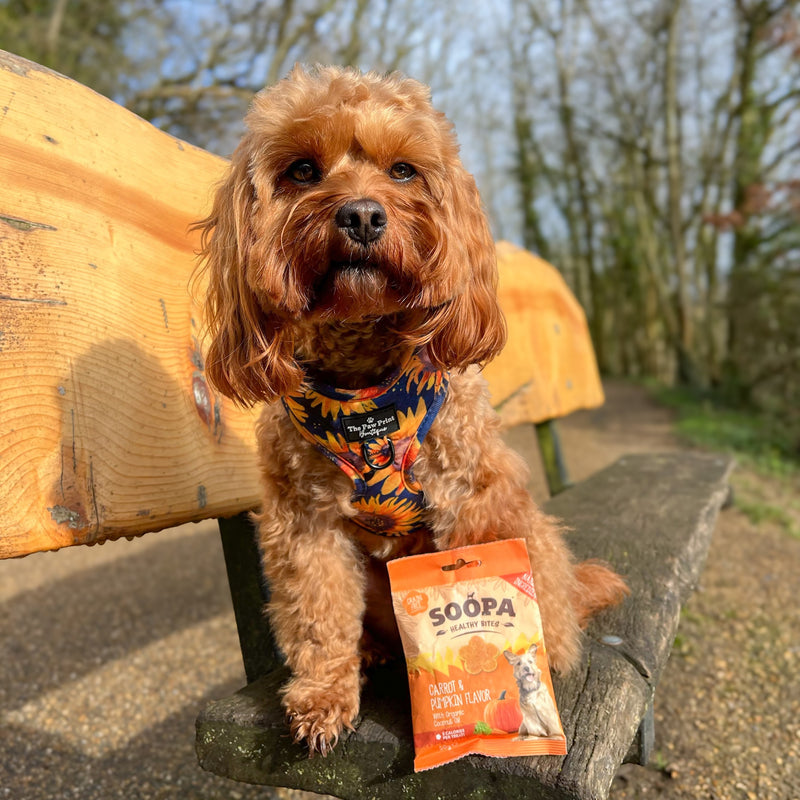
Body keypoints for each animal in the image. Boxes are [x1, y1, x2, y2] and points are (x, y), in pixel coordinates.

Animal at [195, 64, 632, 756]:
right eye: (301, 170)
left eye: (403, 170)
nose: (362, 214)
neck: (364, 396)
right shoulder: (304, 523)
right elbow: (317, 614)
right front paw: (323, 696)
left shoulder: (471, 499)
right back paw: (374, 652)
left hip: (529, 535)